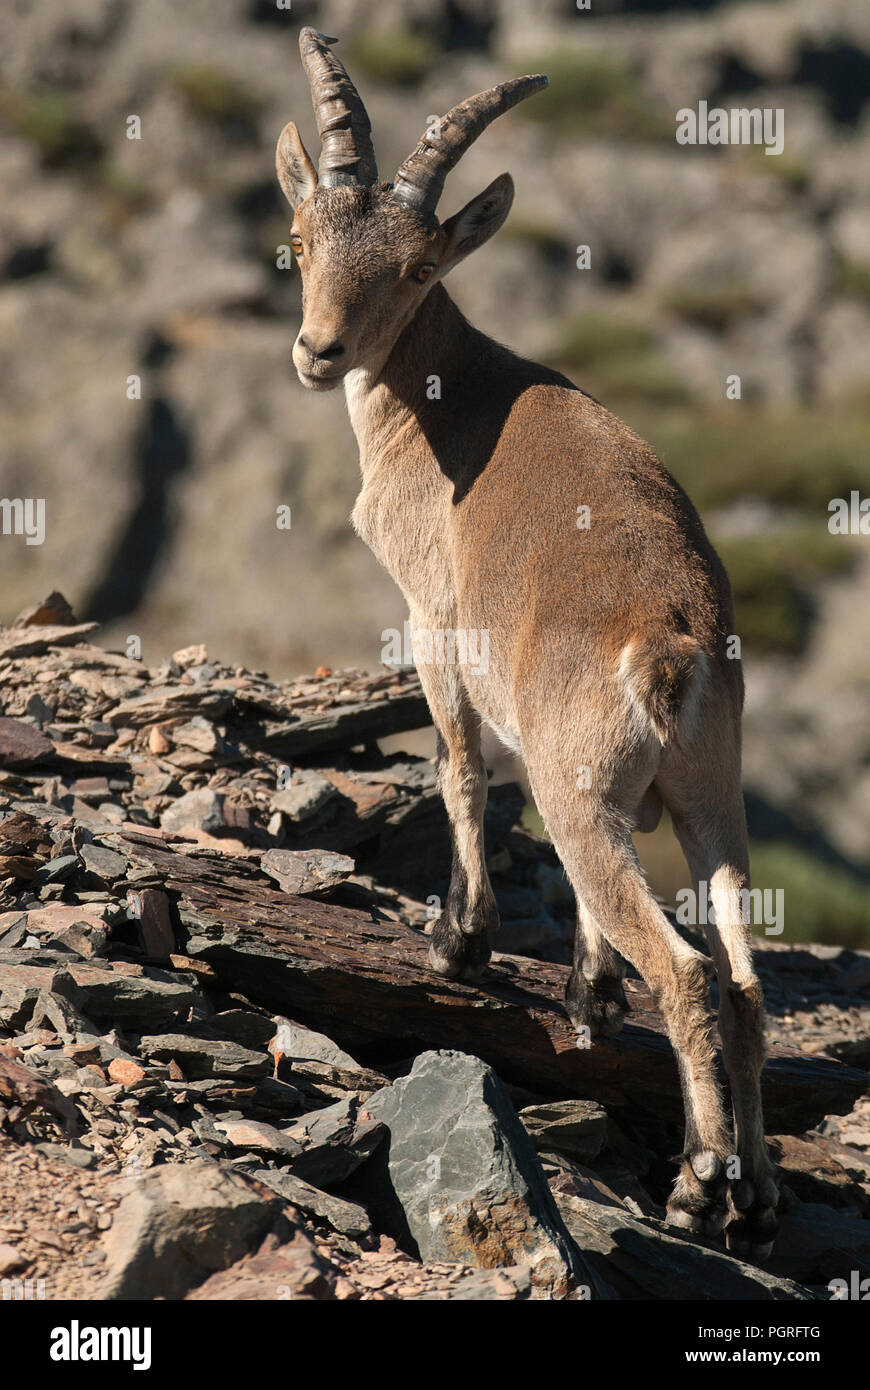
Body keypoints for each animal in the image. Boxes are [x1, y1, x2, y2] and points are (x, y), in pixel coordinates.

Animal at [275, 26, 778, 1259]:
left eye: (418, 269)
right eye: (303, 241)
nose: (320, 351)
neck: (440, 389)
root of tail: (672, 648)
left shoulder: (433, 620)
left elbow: (456, 769)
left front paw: (458, 938)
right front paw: (586, 995)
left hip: (581, 784)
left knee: (691, 977)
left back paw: (698, 1186)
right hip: (709, 795)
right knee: (745, 979)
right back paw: (756, 1194)